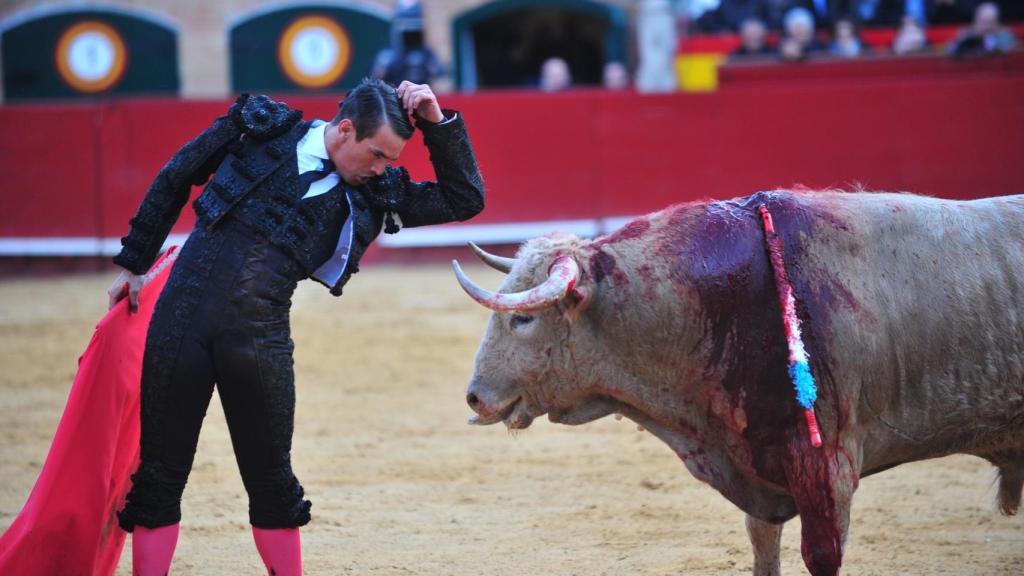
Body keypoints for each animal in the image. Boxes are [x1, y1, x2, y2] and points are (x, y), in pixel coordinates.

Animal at [454, 191, 1024, 573]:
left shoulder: (828, 464)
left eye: (522, 319)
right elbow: (762, 544)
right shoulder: (759, 466)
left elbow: (822, 554)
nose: (475, 397)